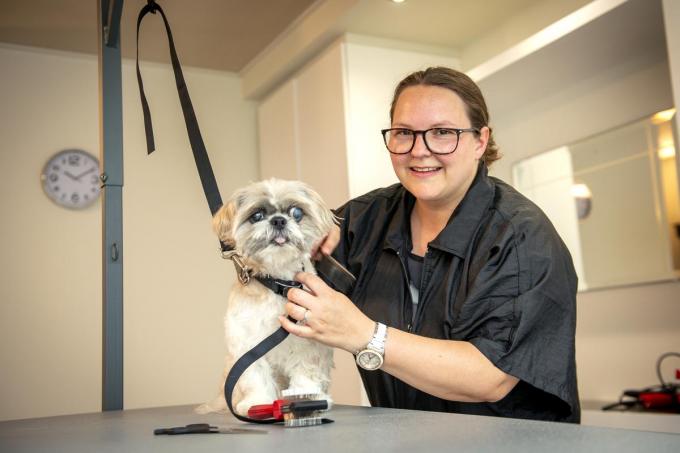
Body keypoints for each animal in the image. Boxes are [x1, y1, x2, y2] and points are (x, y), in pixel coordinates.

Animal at [195, 178, 336, 414]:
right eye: (257, 215)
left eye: (296, 212)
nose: (279, 220)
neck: (278, 284)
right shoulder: (247, 343)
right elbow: (255, 374)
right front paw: (257, 402)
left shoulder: (309, 343)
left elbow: (306, 369)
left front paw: (306, 396)